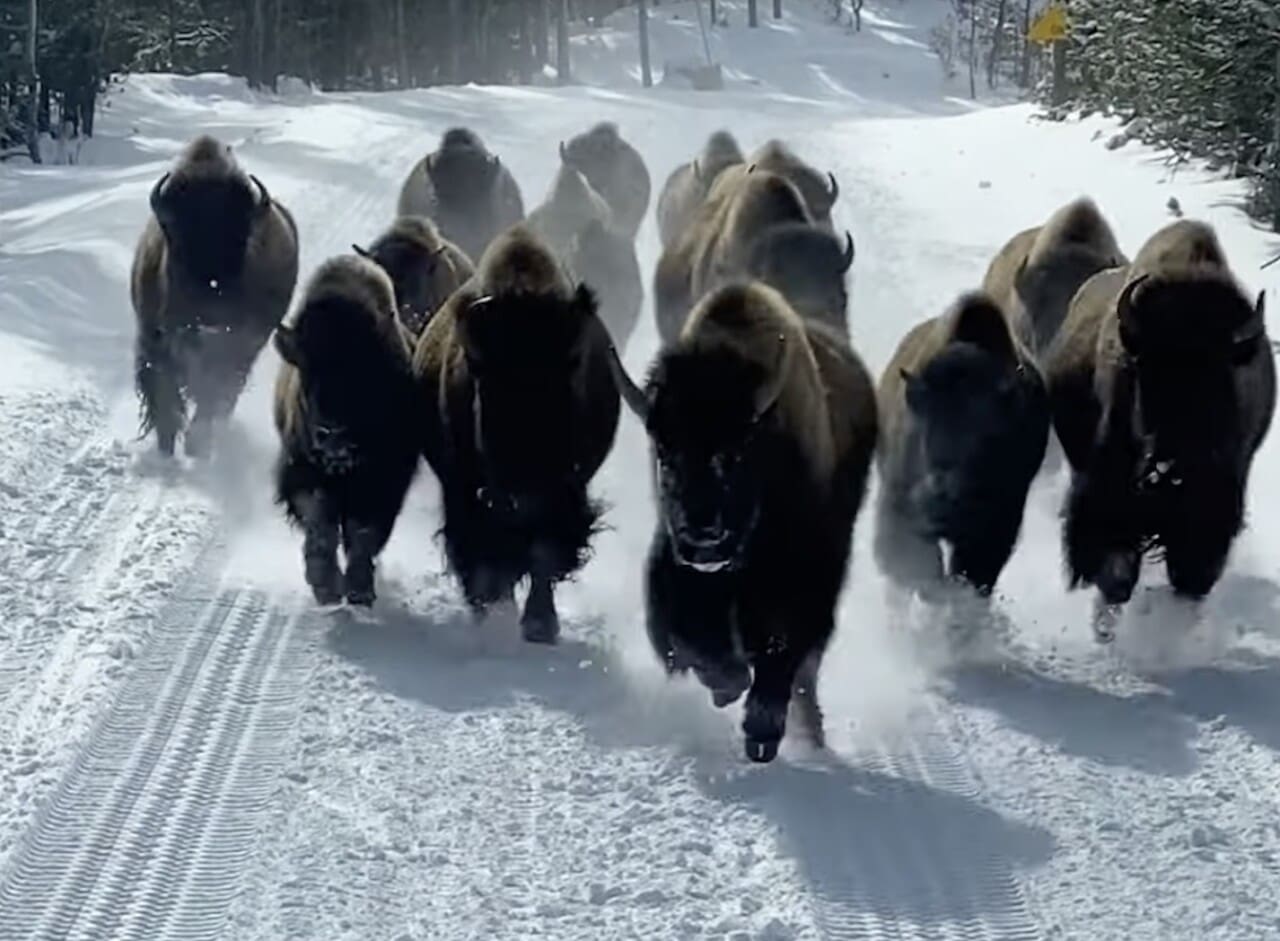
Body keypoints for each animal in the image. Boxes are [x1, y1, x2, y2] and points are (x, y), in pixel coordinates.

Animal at [131, 134, 299, 457]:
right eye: (177, 238)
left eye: (241, 240)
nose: (211, 314)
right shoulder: (153, 342)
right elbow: (164, 396)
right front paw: (168, 448)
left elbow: (211, 399)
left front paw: (194, 445)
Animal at [607, 280, 878, 763]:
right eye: (665, 453)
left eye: (733, 453)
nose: (703, 539)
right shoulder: (674, 581)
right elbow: (696, 646)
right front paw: (728, 688)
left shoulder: (801, 585)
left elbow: (781, 652)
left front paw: (761, 731)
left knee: (804, 668)